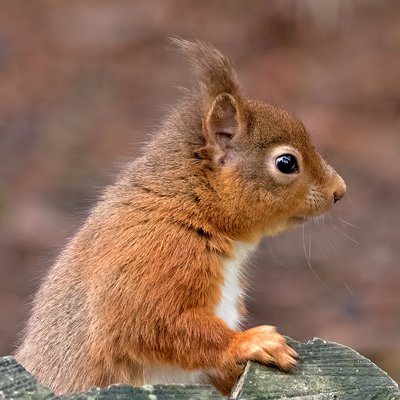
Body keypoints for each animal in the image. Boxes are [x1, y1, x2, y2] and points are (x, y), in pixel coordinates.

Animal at [15, 39, 346, 396]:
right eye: (286, 163)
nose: (339, 190)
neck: (190, 206)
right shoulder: (153, 255)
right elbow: (152, 322)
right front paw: (252, 342)